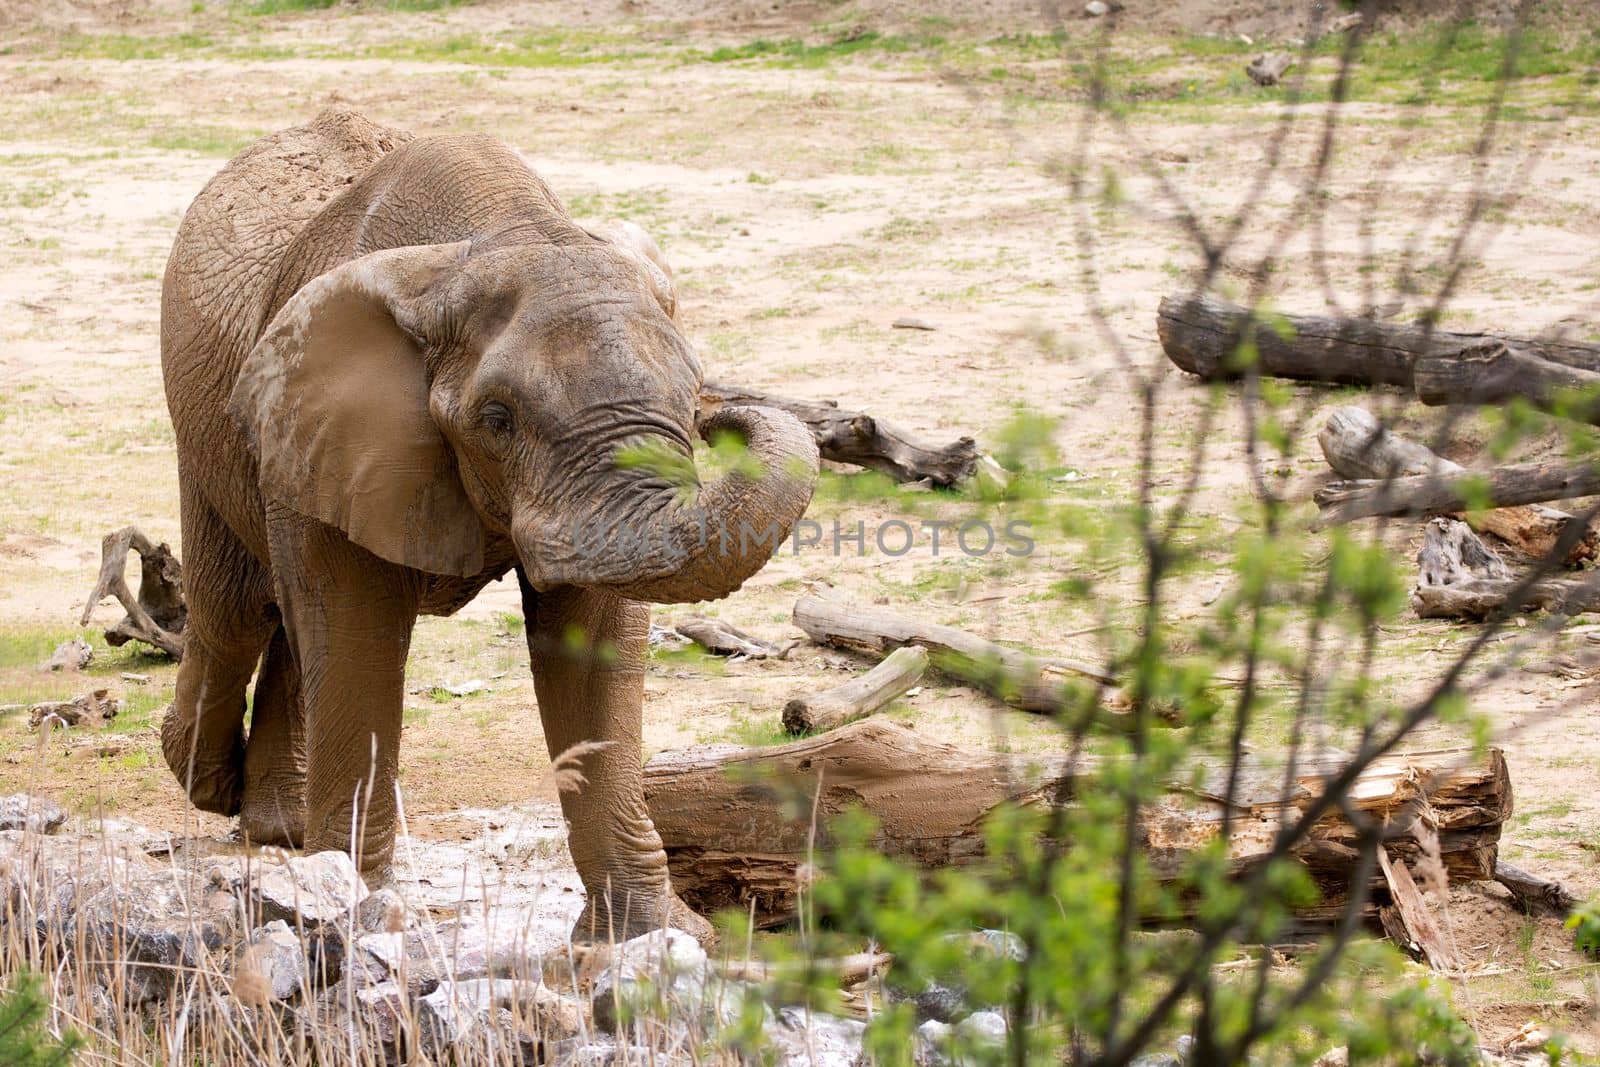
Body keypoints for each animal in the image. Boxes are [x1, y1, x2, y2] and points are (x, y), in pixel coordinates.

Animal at [156, 106, 819, 940]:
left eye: (691, 392)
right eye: (497, 419)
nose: (723, 414)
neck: (493, 235)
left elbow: (593, 641)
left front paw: (650, 937)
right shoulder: (334, 420)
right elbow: (356, 633)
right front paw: (360, 920)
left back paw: (278, 830)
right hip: (208, 421)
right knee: (241, 608)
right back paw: (204, 780)